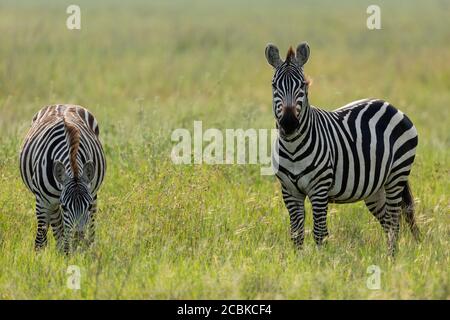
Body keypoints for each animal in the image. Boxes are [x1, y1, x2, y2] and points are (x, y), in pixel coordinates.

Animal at [19, 104, 106, 252]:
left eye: (87, 206)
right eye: (65, 207)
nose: (78, 238)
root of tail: (62, 105)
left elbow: (69, 234)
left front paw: (73, 253)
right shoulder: (42, 202)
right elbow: (41, 238)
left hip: (93, 194)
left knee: (90, 228)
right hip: (52, 202)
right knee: (57, 226)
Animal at [266, 42, 420, 255]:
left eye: (303, 85)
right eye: (274, 86)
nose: (289, 124)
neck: (293, 147)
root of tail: (390, 105)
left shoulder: (319, 189)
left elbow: (319, 233)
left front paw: (320, 260)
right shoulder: (289, 192)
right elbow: (296, 235)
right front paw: (298, 261)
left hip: (396, 176)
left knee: (394, 223)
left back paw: (391, 258)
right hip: (375, 188)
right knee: (388, 222)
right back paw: (389, 257)